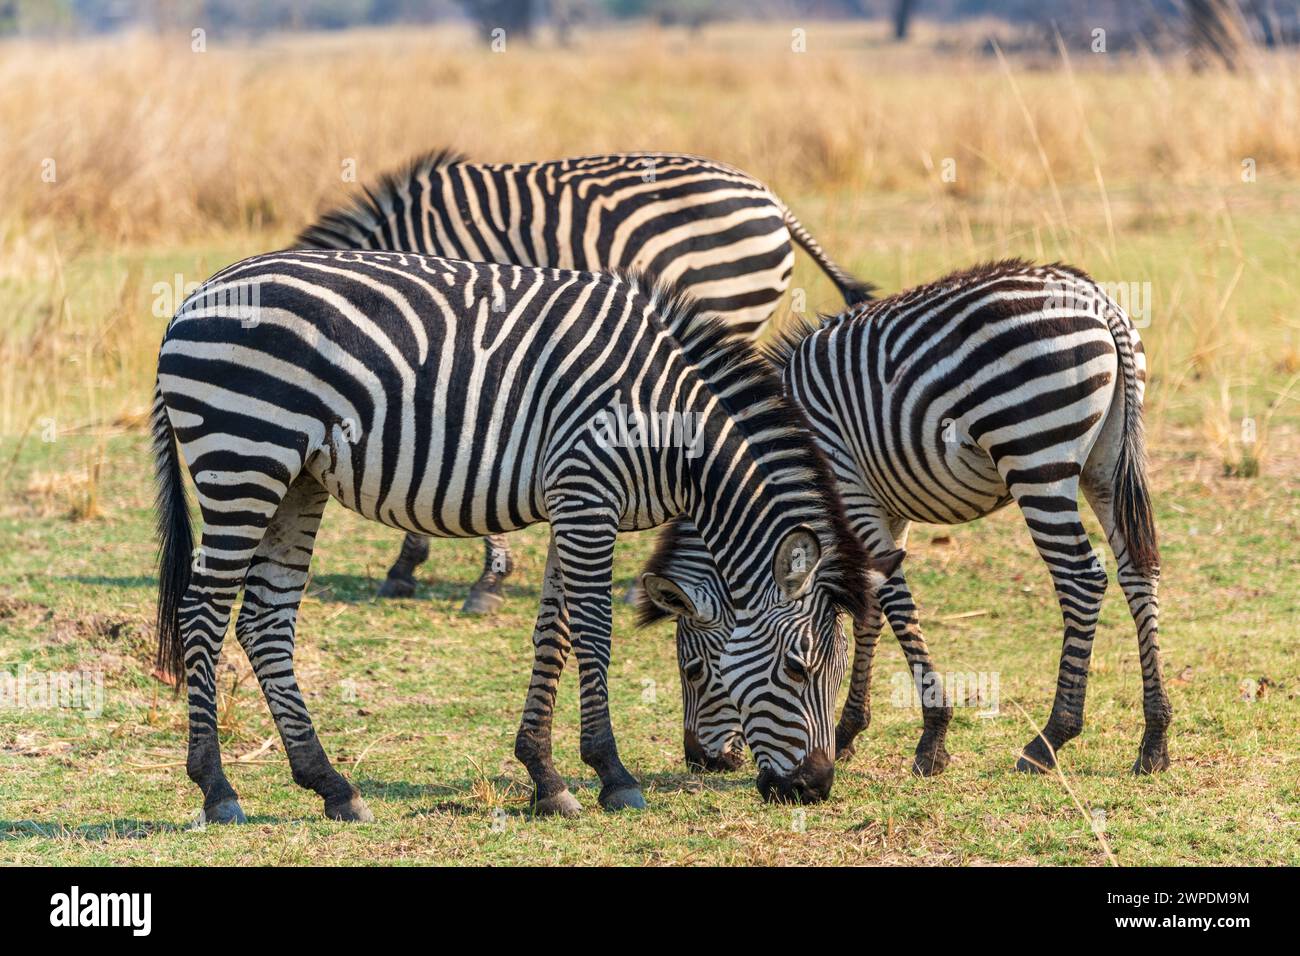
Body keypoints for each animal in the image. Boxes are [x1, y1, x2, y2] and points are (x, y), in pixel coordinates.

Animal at [154, 248, 873, 822]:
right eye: (799, 666)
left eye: (834, 668)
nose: (815, 787)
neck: (672, 426)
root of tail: (193, 297)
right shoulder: (587, 493)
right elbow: (593, 632)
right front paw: (613, 774)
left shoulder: (572, 500)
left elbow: (553, 635)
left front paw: (546, 778)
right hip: (244, 458)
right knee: (203, 613)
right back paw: (217, 790)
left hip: (295, 478)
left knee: (264, 619)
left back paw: (331, 786)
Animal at [644, 260, 1175, 780]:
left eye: (691, 670)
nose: (701, 761)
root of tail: (1099, 302)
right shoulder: (883, 507)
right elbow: (869, 608)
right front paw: (848, 731)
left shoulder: (849, 491)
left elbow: (892, 603)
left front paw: (932, 739)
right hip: (1106, 461)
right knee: (1138, 570)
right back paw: (1154, 739)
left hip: (1035, 456)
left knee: (1081, 580)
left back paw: (1050, 739)